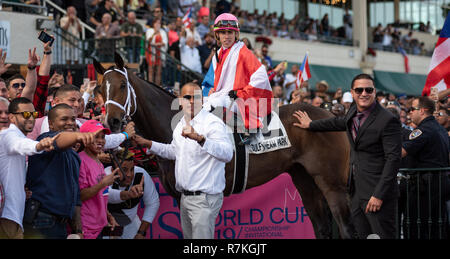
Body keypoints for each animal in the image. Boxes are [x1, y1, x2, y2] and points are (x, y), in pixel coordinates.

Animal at [93, 54, 356, 240]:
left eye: (122, 85)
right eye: (100, 88)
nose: (111, 121)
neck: (173, 125)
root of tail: (330, 115)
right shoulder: (181, 197)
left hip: (332, 184)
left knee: (345, 228)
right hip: (304, 180)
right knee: (322, 228)